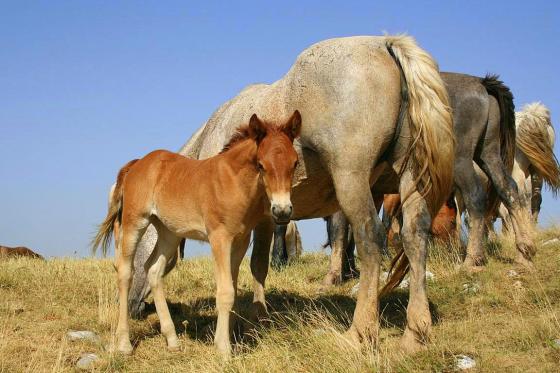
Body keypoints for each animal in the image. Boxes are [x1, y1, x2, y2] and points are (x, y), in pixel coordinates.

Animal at [92, 110, 302, 354]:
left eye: (295, 163)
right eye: (261, 164)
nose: (282, 210)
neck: (233, 181)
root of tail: (137, 164)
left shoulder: (240, 240)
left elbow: (232, 287)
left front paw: (229, 338)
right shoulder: (219, 238)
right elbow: (225, 292)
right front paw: (224, 349)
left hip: (169, 232)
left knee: (153, 270)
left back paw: (172, 340)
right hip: (135, 222)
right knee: (125, 271)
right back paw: (124, 344)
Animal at [115, 35, 456, 352]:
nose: (132, 308)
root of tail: (384, 43)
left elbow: (238, 271)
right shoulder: (265, 217)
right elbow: (256, 265)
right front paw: (256, 318)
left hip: (353, 183)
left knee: (370, 243)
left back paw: (359, 332)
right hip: (410, 183)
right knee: (414, 238)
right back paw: (415, 334)